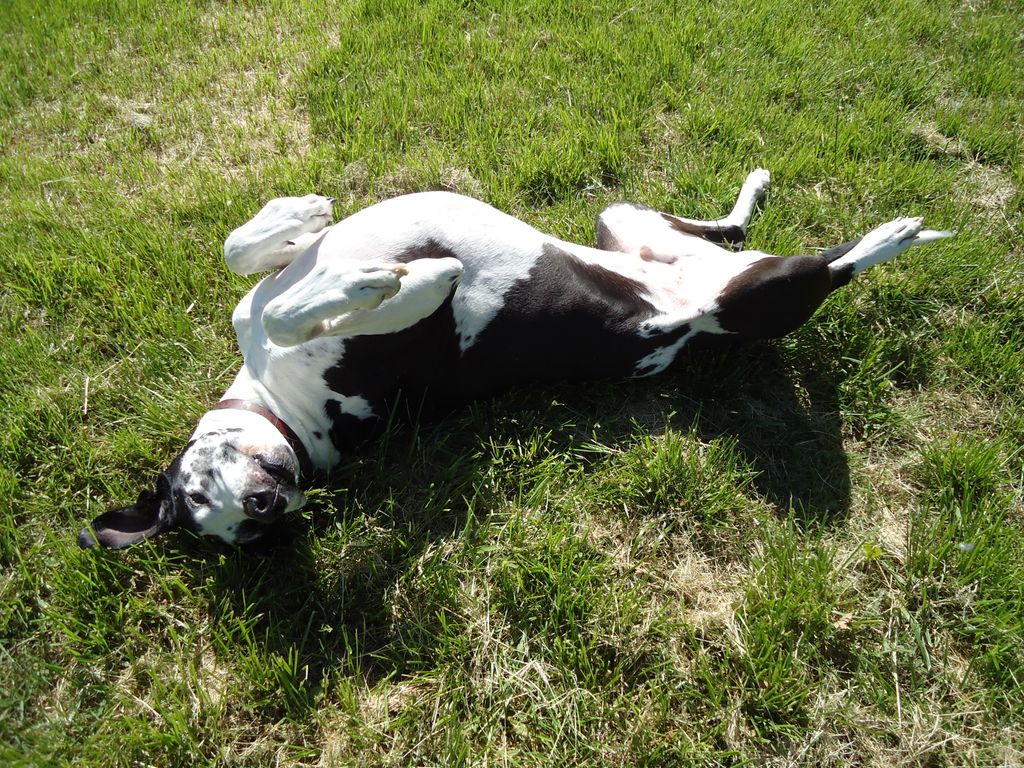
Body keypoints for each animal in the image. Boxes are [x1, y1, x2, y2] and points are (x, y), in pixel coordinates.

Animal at [77, 171, 950, 548]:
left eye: (196, 493)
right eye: (235, 536)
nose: (267, 505)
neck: (284, 405)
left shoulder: (257, 303)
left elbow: (244, 260)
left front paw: (298, 219)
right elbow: (317, 305)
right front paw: (393, 279)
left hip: (625, 218)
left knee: (726, 229)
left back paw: (764, 190)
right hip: (755, 297)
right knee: (826, 267)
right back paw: (892, 236)